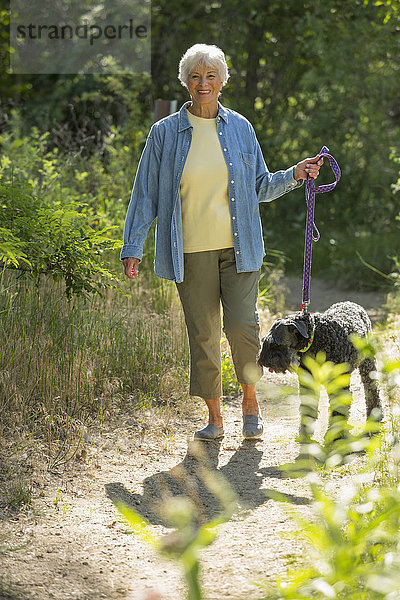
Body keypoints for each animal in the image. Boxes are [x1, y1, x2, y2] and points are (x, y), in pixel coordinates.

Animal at [256, 302, 382, 438]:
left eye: (275, 344)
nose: (262, 361)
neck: (317, 338)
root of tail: (353, 304)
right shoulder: (308, 382)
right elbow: (307, 406)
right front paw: (305, 432)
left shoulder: (338, 385)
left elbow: (338, 409)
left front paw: (336, 436)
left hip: (367, 364)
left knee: (371, 391)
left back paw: (375, 417)